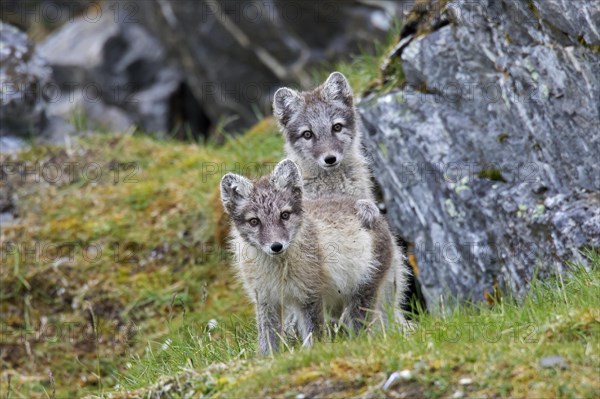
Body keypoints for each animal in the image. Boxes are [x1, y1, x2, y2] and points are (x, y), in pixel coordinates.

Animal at [218, 159, 406, 354]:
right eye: (254, 221)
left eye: (284, 215)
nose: (276, 246)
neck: (278, 270)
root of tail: (381, 219)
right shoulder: (265, 299)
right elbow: (268, 336)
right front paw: (268, 357)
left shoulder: (309, 296)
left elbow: (313, 332)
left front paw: (313, 352)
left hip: (363, 291)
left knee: (360, 325)